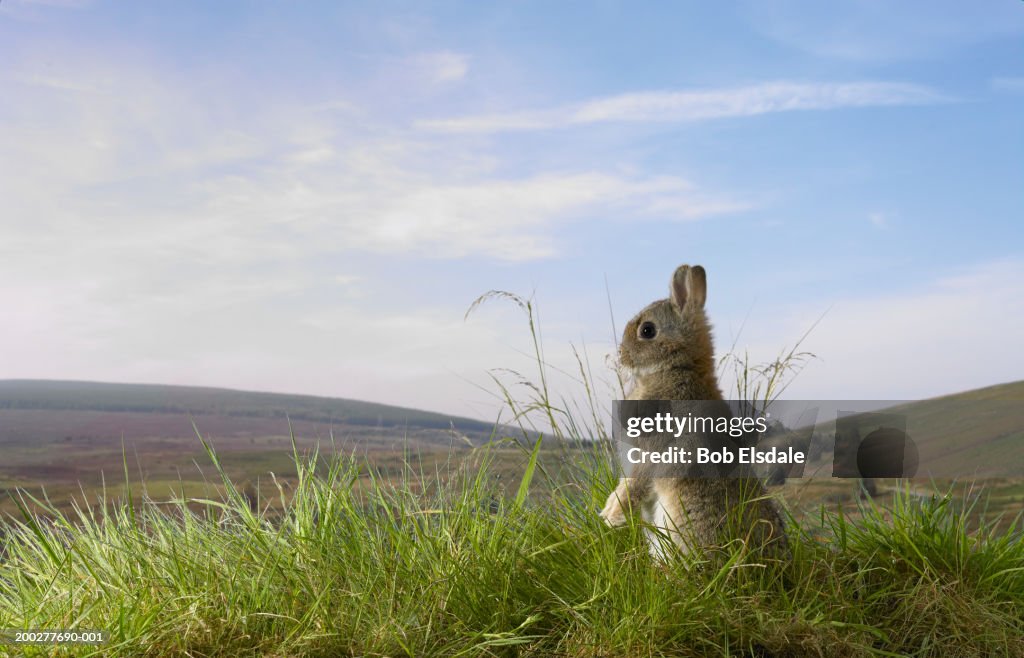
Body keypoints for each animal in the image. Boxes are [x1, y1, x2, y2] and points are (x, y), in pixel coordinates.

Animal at [598, 266, 790, 564]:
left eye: (647, 330)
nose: (622, 356)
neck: (677, 369)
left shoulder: (652, 448)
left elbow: (635, 484)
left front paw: (611, 516)